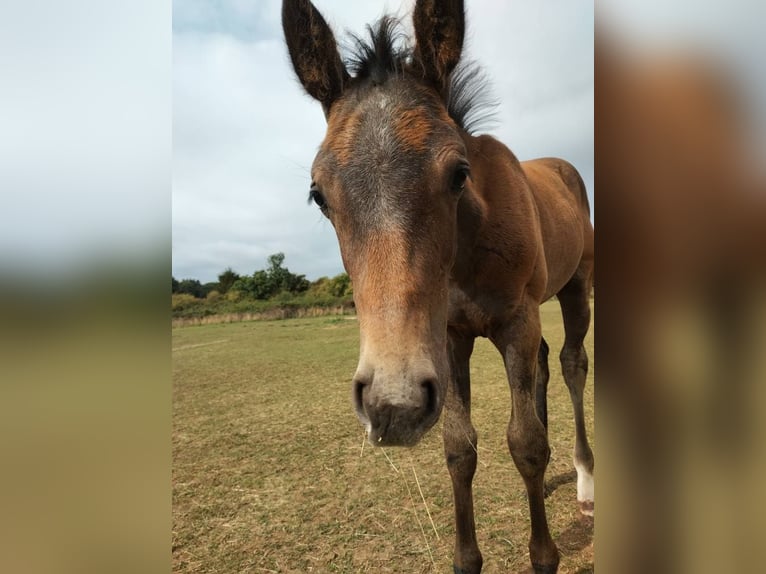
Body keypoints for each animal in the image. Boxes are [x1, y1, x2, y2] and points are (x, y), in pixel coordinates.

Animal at [282, 1, 594, 572]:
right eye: (319, 194)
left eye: (459, 174)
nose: (392, 405)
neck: (468, 251)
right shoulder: (449, 337)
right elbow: (459, 447)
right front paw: (467, 557)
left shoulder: (515, 321)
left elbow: (525, 443)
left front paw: (544, 556)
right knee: (543, 362)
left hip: (576, 289)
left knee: (570, 363)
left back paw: (585, 482)